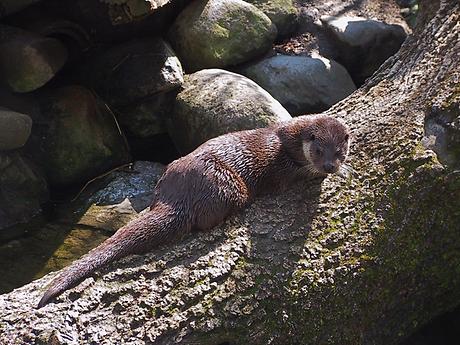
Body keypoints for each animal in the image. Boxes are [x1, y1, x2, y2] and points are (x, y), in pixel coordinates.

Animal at [38, 115, 348, 306]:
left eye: (339, 152)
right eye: (318, 151)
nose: (330, 166)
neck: (289, 140)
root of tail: (178, 196)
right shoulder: (280, 167)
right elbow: (290, 177)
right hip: (228, 186)